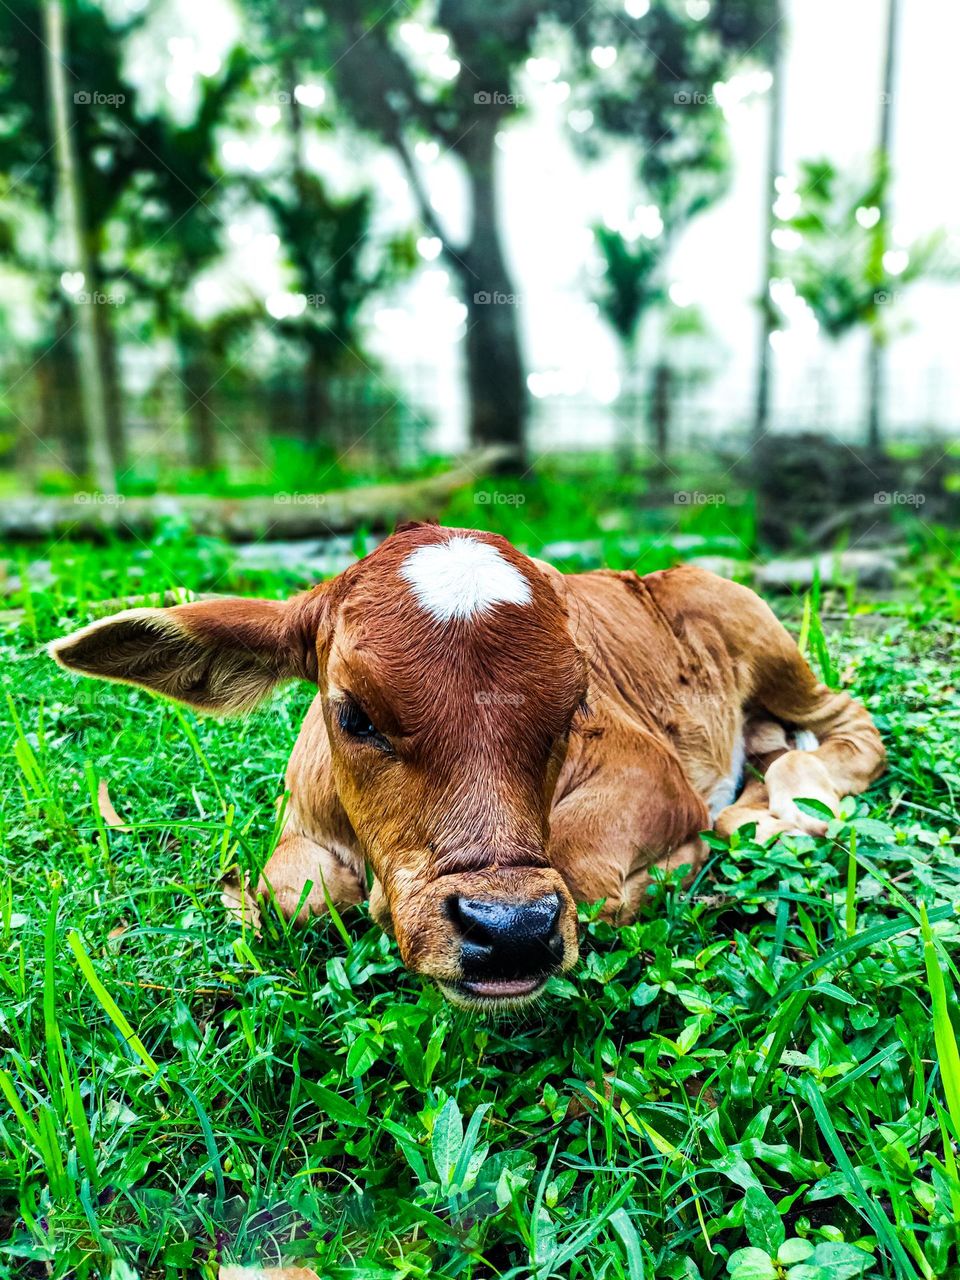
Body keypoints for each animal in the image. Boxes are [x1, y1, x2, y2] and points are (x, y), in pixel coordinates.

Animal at [50, 523, 885, 1009]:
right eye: (353, 714)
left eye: (574, 706)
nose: (511, 931)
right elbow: (295, 898)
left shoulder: (652, 777)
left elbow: (588, 873)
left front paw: (683, 865)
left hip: (762, 635)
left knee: (851, 726)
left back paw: (776, 815)